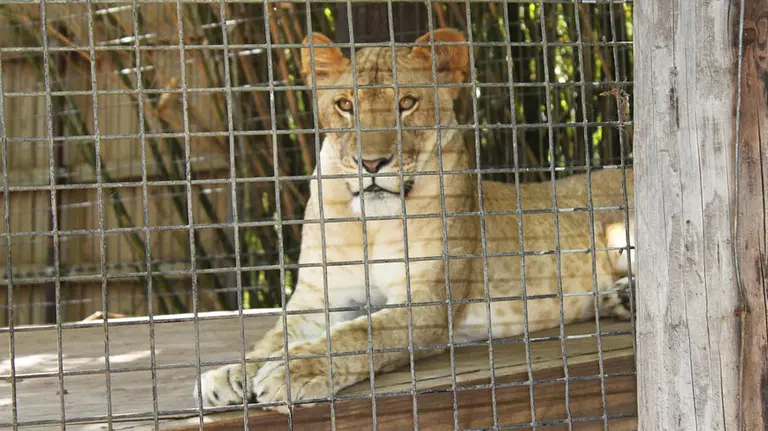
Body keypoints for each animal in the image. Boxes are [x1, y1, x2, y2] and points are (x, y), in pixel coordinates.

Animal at [194, 28, 635, 410]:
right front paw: (228, 374)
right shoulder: (318, 298)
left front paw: (293, 371)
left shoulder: (428, 302)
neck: (371, 222)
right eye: (345, 105)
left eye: (406, 103)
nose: (371, 163)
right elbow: (273, 336)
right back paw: (618, 299)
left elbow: (360, 333)